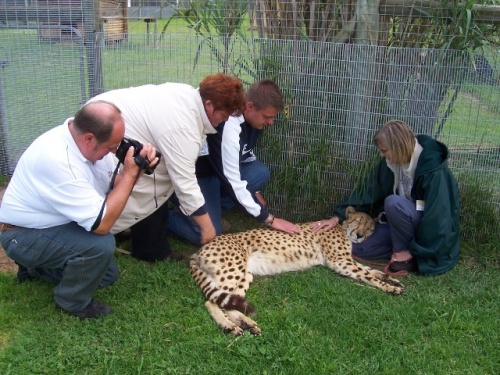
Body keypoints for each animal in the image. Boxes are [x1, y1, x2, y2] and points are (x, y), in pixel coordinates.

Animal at [189, 207, 404, 336]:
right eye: (358, 222)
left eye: (370, 228)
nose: (359, 235)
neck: (343, 230)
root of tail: (199, 250)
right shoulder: (340, 261)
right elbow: (366, 274)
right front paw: (389, 287)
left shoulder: (346, 260)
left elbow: (369, 270)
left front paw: (392, 279)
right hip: (233, 269)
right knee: (211, 301)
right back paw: (229, 326)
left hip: (244, 273)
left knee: (229, 302)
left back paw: (247, 324)